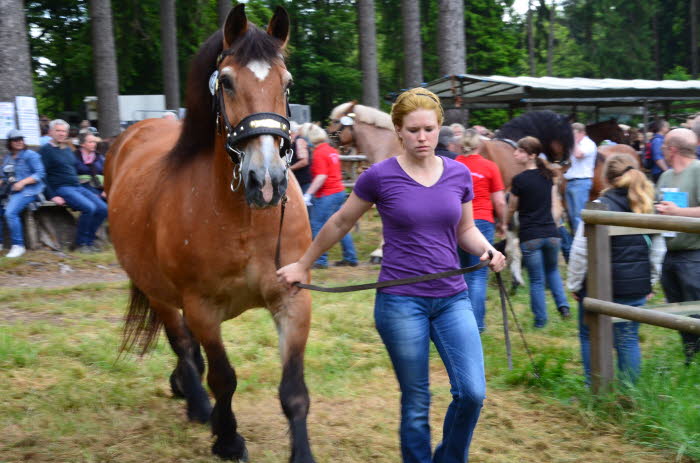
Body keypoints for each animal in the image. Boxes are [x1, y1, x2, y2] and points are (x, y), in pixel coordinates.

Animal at [103, 5, 314, 462]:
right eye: (228, 81)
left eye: (287, 82)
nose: (266, 181)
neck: (244, 220)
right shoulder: (201, 308)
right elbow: (223, 377)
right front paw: (228, 438)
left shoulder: (292, 298)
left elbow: (293, 392)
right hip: (157, 291)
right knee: (181, 341)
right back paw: (199, 404)